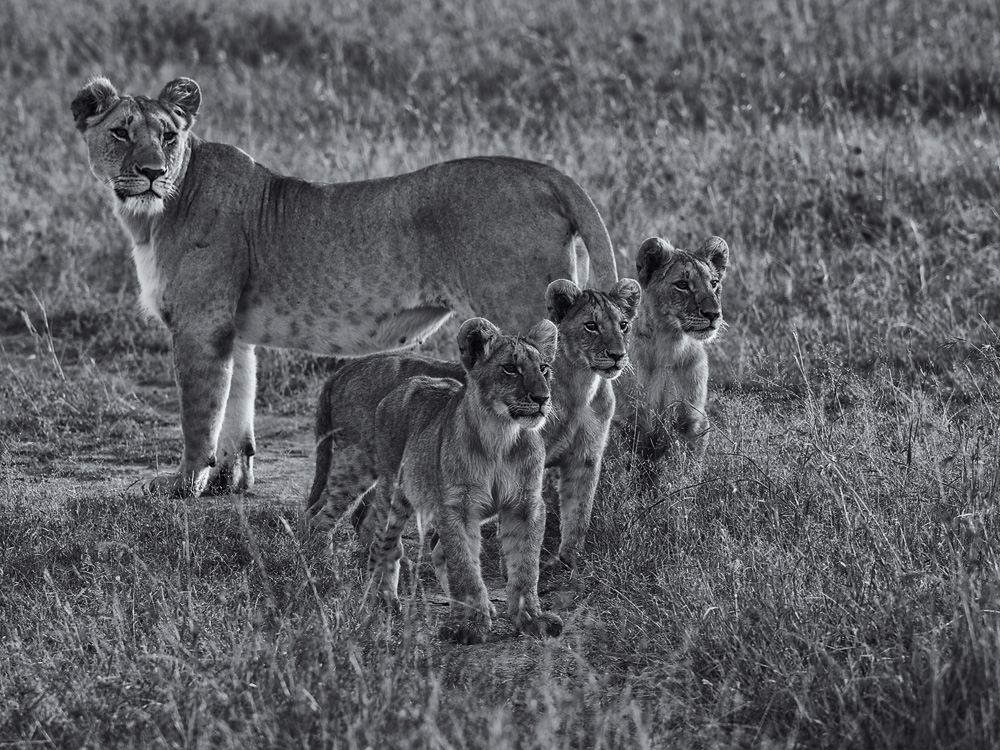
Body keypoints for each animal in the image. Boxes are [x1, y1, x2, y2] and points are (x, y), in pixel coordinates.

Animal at [70, 78, 612, 500]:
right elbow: (237, 402)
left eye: (167, 136)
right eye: (120, 132)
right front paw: (229, 480)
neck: (151, 217)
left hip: (522, 319)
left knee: (568, 402)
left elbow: (199, 412)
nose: (152, 172)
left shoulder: (200, 323)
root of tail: (547, 174)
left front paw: (183, 485)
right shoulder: (229, 327)